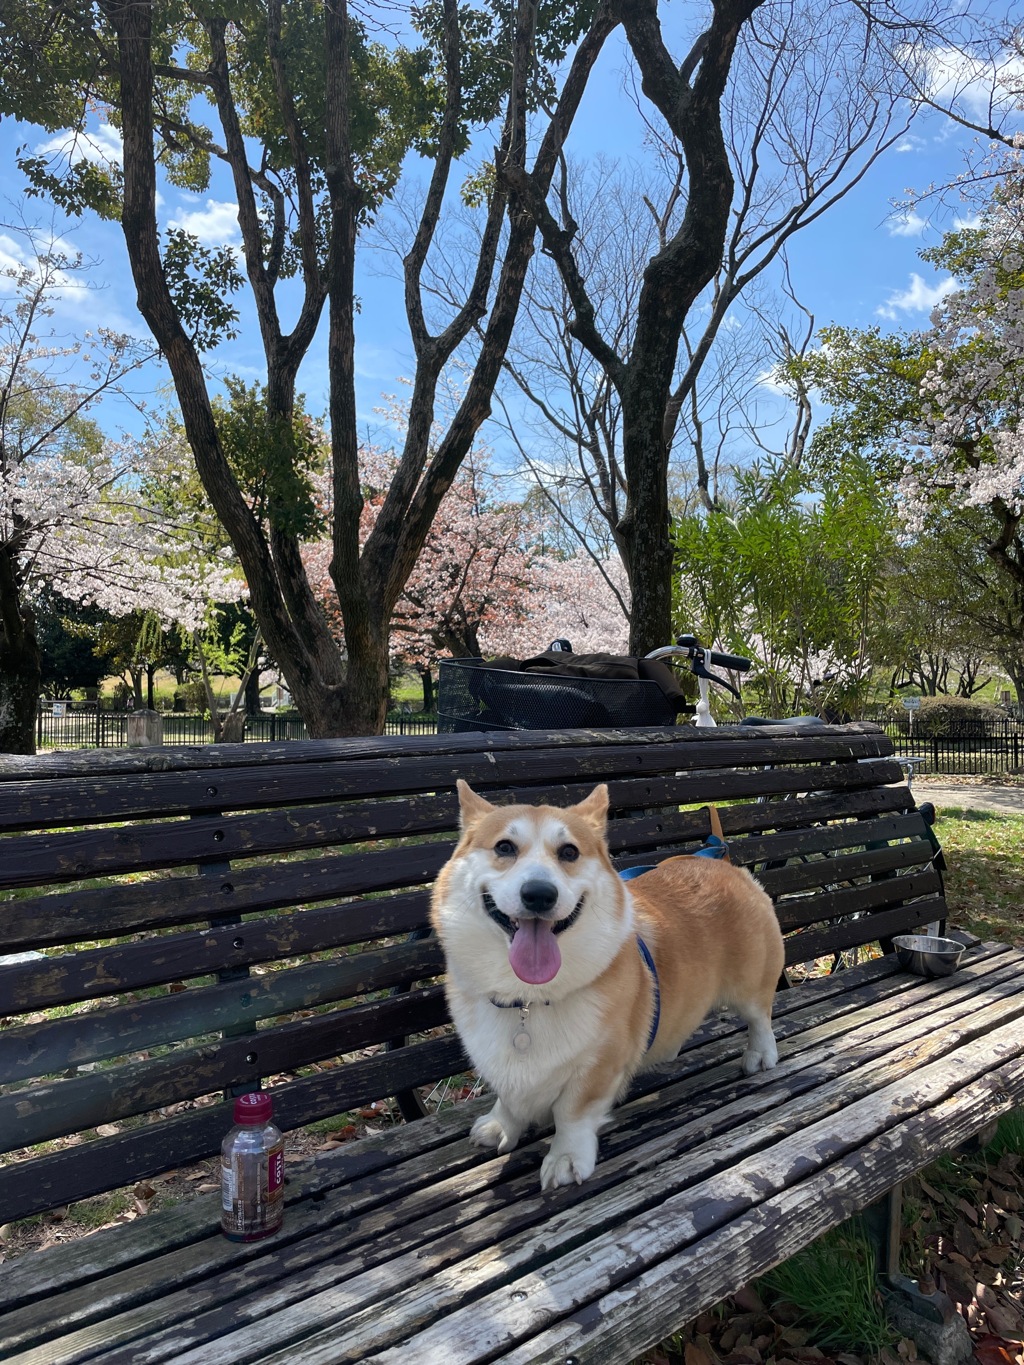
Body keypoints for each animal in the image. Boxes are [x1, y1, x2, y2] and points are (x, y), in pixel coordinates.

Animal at [431, 786, 786, 1190]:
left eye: (569, 852)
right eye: (504, 847)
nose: (539, 894)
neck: (528, 1000)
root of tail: (722, 862)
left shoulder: (598, 1064)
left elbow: (572, 1114)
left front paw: (566, 1160)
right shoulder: (500, 1061)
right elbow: (507, 1099)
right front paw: (499, 1127)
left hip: (752, 982)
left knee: (760, 1018)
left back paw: (760, 1056)